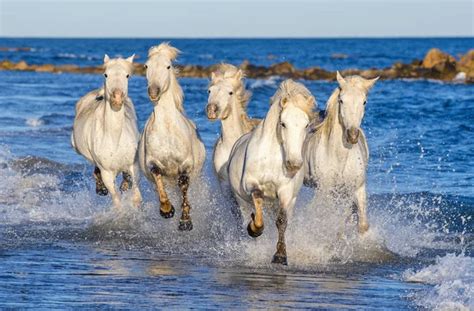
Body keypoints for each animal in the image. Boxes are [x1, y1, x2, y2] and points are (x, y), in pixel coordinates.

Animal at [70, 54, 141, 210]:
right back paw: (101, 188)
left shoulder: (133, 165)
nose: (117, 98)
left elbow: (136, 194)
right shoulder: (107, 173)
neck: (114, 138)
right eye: (106, 74)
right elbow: (117, 200)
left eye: (127, 75)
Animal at [137, 42, 204, 232]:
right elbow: (158, 176)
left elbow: (183, 185)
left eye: (168, 66)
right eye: (146, 66)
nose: (153, 92)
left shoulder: (186, 165)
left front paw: (185, 221)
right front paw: (167, 210)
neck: (167, 130)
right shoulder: (152, 162)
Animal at [228, 79, 316, 264]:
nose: (293, 164)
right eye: (283, 123)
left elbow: (282, 221)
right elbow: (257, 201)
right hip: (241, 201)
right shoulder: (251, 184)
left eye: (306, 125)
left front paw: (280, 255)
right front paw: (254, 229)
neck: (272, 158)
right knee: (248, 215)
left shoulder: (285, 192)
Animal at [304, 72, 378, 235]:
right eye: (341, 100)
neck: (339, 157)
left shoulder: (357, 189)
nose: (352, 135)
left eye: (364, 102)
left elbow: (362, 225)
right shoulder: (324, 190)